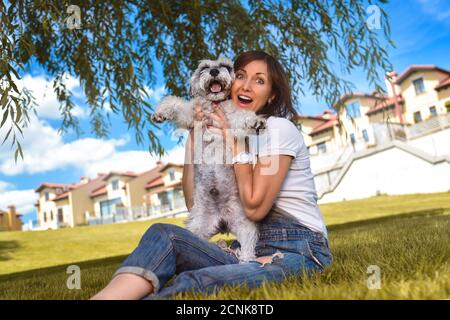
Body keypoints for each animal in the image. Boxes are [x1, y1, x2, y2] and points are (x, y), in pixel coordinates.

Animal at [152, 57, 264, 262]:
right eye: (204, 67)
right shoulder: (191, 115)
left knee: (248, 246)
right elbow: (175, 102)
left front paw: (256, 121)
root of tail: (222, 221)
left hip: (245, 226)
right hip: (197, 227)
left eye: (225, 66)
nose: (213, 71)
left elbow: (243, 116)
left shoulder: (232, 121)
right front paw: (160, 113)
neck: (214, 105)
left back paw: (246, 259)